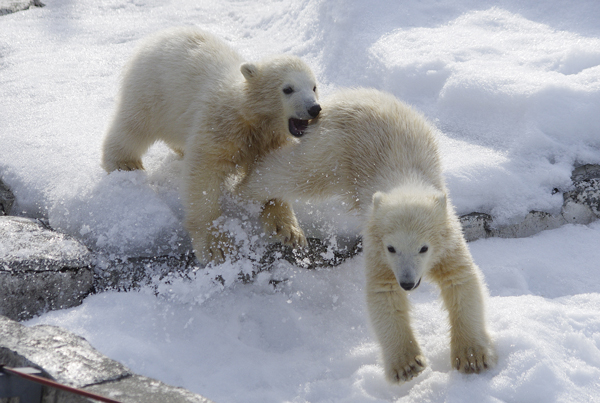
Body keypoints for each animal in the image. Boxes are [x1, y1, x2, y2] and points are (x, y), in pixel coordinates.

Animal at [102, 26, 324, 264]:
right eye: (288, 89)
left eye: (314, 87)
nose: (314, 108)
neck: (251, 122)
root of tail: (161, 34)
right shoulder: (219, 126)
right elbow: (203, 174)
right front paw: (216, 247)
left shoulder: (269, 143)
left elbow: (271, 175)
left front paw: (289, 231)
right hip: (152, 88)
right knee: (134, 125)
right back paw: (124, 163)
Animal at [239, 89, 496, 386]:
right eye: (392, 248)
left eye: (424, 248)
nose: (408, 283)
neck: (406, 183)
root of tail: (347, 94)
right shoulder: (377, 245)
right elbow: (384, 292)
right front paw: (408, 365)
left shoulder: (449, 240)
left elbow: (460, 281)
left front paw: (472, 358)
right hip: (331, 150)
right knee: (294, 173)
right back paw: (244, 189)